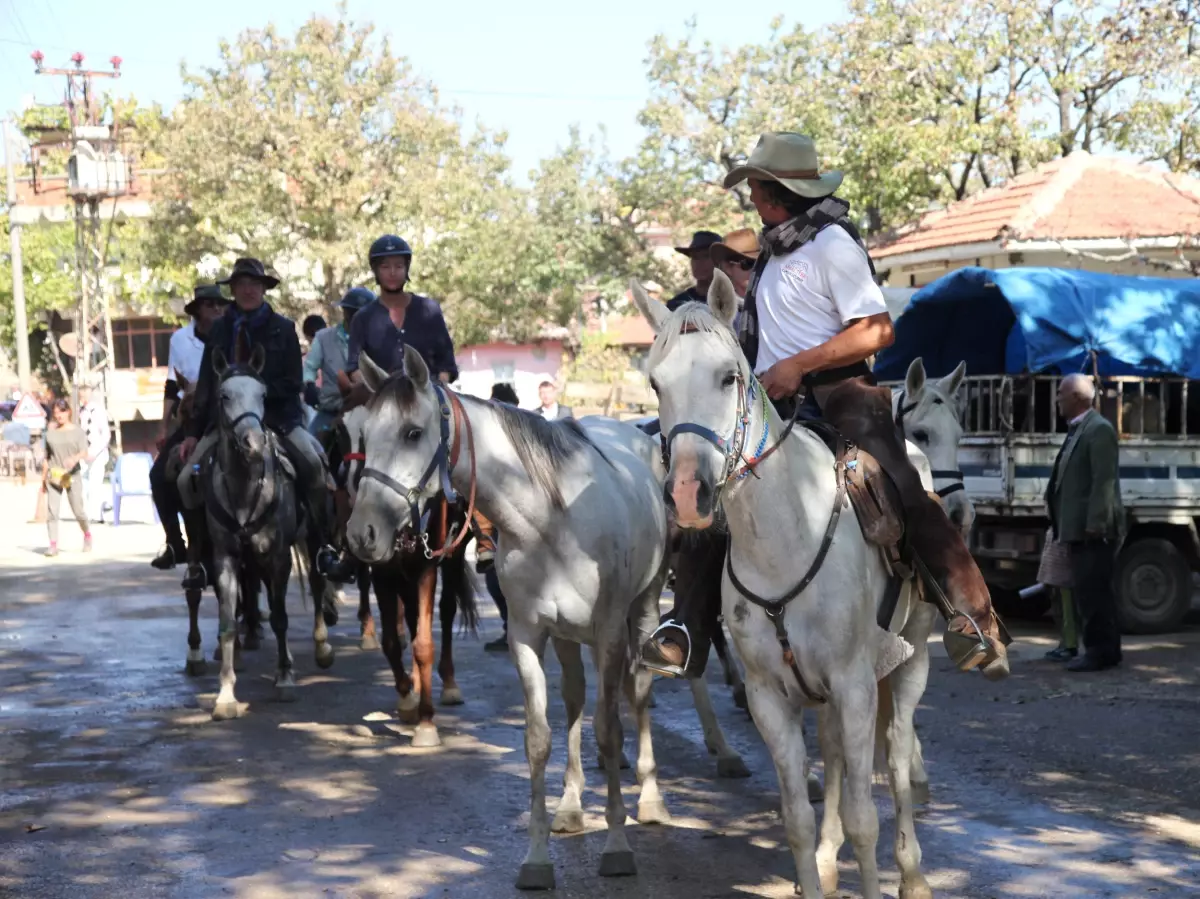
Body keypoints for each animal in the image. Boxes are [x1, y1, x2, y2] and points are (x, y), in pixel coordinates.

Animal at [343, 348, 700, 888]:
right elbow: (539, 739)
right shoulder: (529, 637)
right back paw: (571, 807)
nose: (362, 533)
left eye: (412, 432)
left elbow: (608, 730)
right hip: (569, 637)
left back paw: (651, 799)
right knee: (574, 699)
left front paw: (617, 845)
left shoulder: (610, 634)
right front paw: (537, 857)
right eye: (363, 436)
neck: (551, 520)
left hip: (642, 610)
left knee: (635, 694)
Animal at [633, 273, 931, 897]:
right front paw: (815, 861)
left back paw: (913, 873)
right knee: (836, 755)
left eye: (728, 375)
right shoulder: (771, 696)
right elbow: (796, 817)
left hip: (912, 656)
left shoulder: (855, 685)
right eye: (655, 382)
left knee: (896, 755)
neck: (785, 536)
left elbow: (865, 817)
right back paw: (828, 858)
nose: (687, 496)